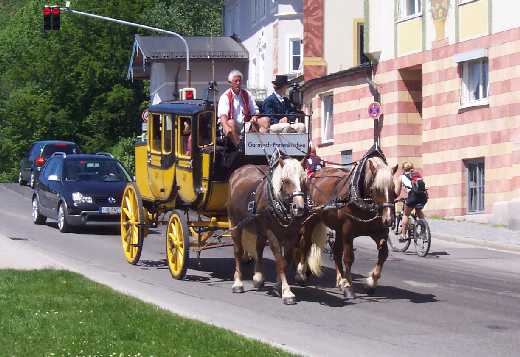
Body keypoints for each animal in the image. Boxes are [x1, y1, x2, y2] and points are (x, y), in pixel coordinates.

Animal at [229, 156, 308, 304]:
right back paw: (238, 283)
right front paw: (287, 292)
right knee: (238, 251)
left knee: (258, 248)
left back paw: (258, 278)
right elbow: (279, 259)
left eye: (304, 179)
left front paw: (278, 287)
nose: (299, 208)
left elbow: (285, 261)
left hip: (259, 228)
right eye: (285, 180)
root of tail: (241, 169)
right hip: (235, 223)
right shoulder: (272, 233)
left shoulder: (292, 235)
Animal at [294, 156, 396, 298]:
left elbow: (383, 254)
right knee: (305, 244)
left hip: (338, 228)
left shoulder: (378, 231)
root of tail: (313, 175)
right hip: (311, 221)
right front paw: (348, 286)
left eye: (394, 189)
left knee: (336, 252)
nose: (389, 219)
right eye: (376, 189)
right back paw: (301, 274)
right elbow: (348, 258)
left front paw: (371, 282)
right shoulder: (348, 231)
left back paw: (340, 280)